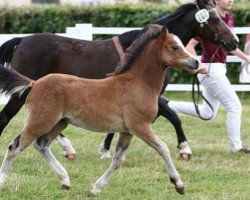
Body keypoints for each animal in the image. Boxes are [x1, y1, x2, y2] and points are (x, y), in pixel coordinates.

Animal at [0, 0, 237, 160]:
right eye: (215, 18)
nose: (233, 41)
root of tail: (22, 40)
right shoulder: (149, 96)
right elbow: (174, 117)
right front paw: (185, 148)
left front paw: (105, 148)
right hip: (24, 94)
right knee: (6, 119)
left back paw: (68, 149)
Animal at [0, 24, 199, 195]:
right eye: (175, 47)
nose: (196, 62)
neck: (137, 83)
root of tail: (34, 83)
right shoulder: (140, 126)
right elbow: (163, 148)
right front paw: (179, 185)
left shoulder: (127, 131)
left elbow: (118, 160)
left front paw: (96, 189)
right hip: (39, 122)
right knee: (15, 147)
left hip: (58, 123)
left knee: (40, 144)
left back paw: (65, 180)